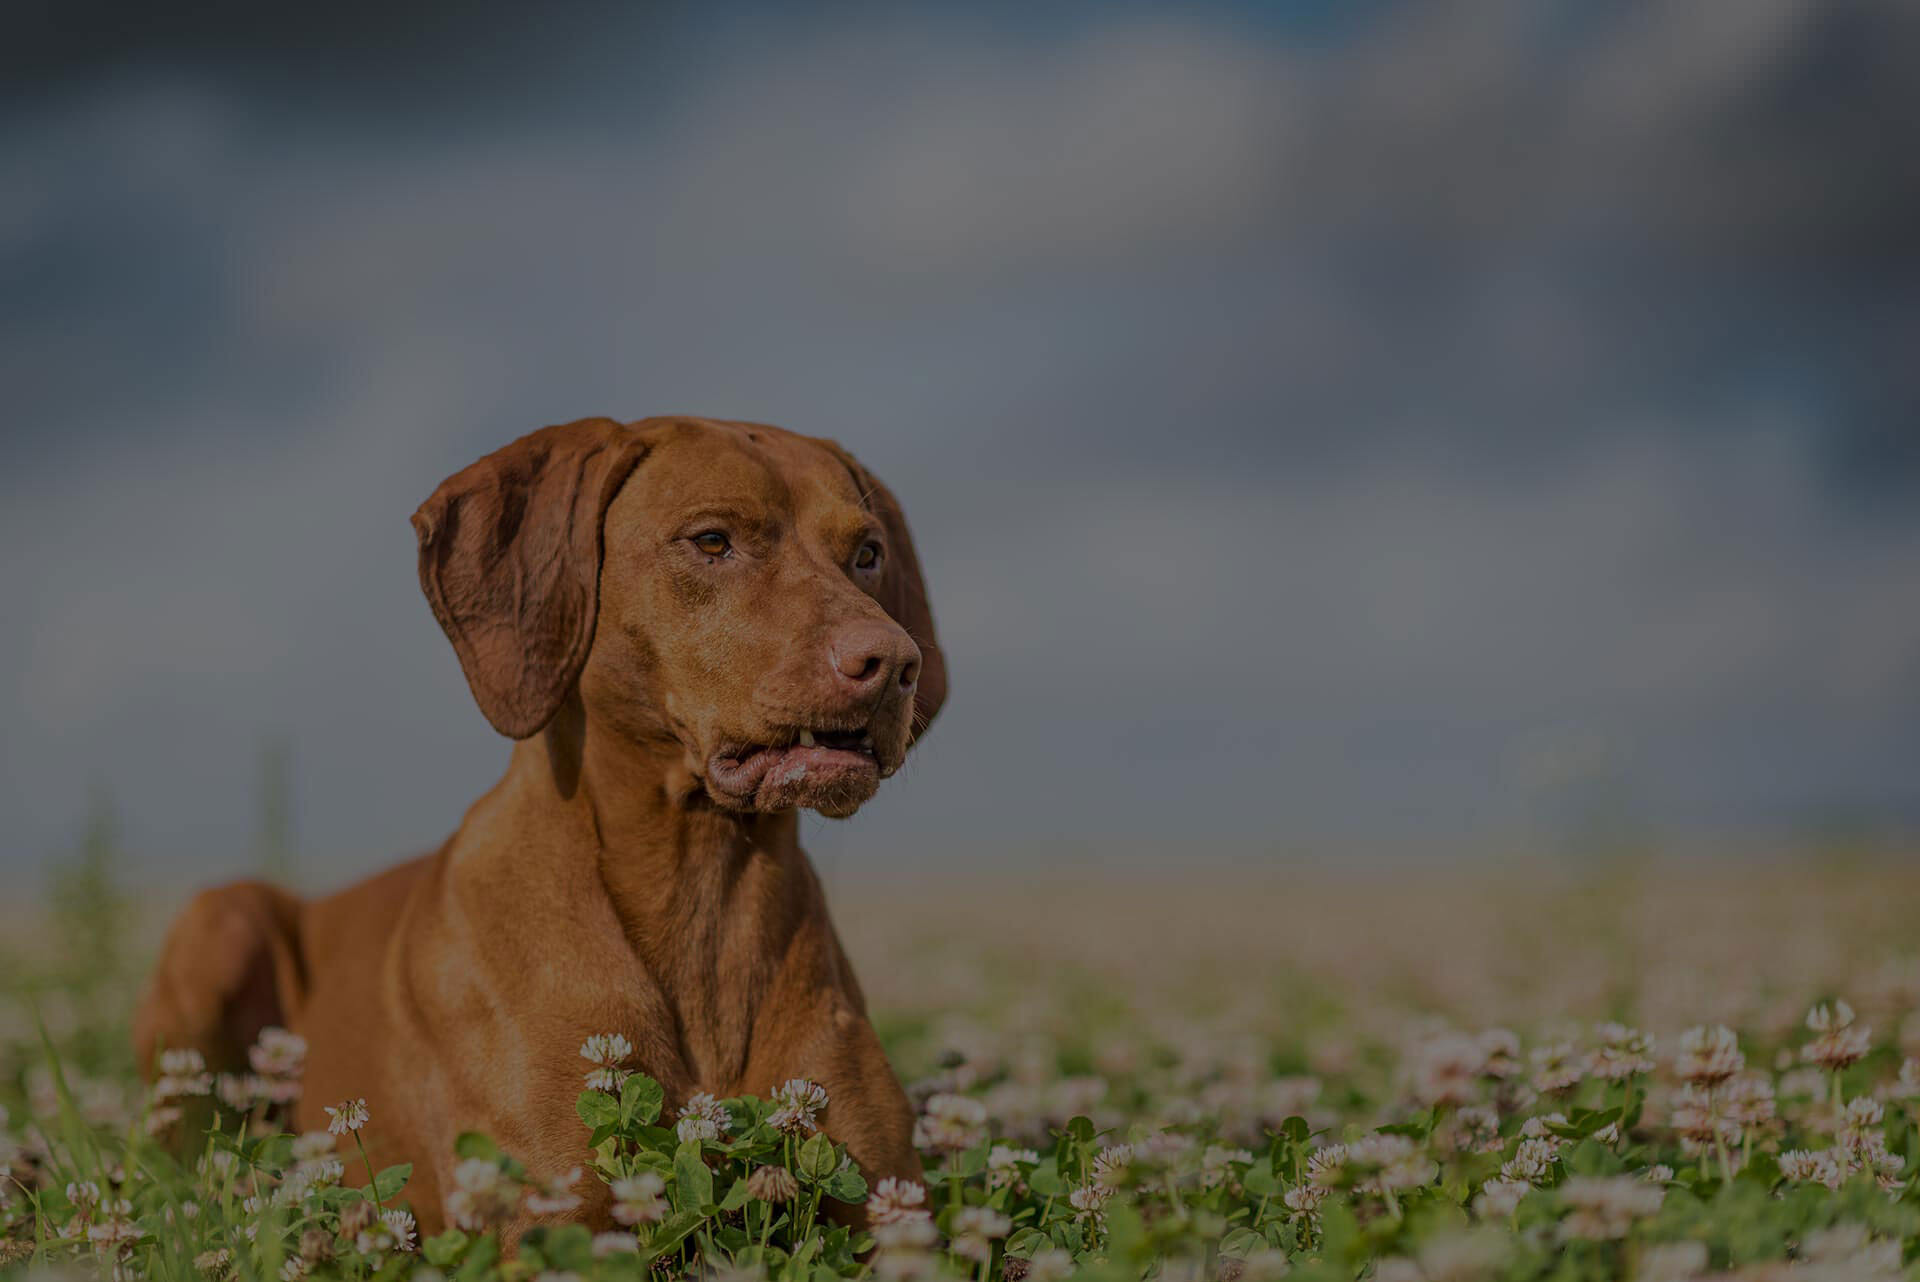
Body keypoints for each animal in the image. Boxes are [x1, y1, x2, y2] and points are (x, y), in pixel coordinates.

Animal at [133, 418, 944, 1228]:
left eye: (868, 553)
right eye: (712, 541)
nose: (894, 662)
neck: (705, 890)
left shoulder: (890, 1200)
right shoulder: (549, 1213)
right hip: (221, 917)